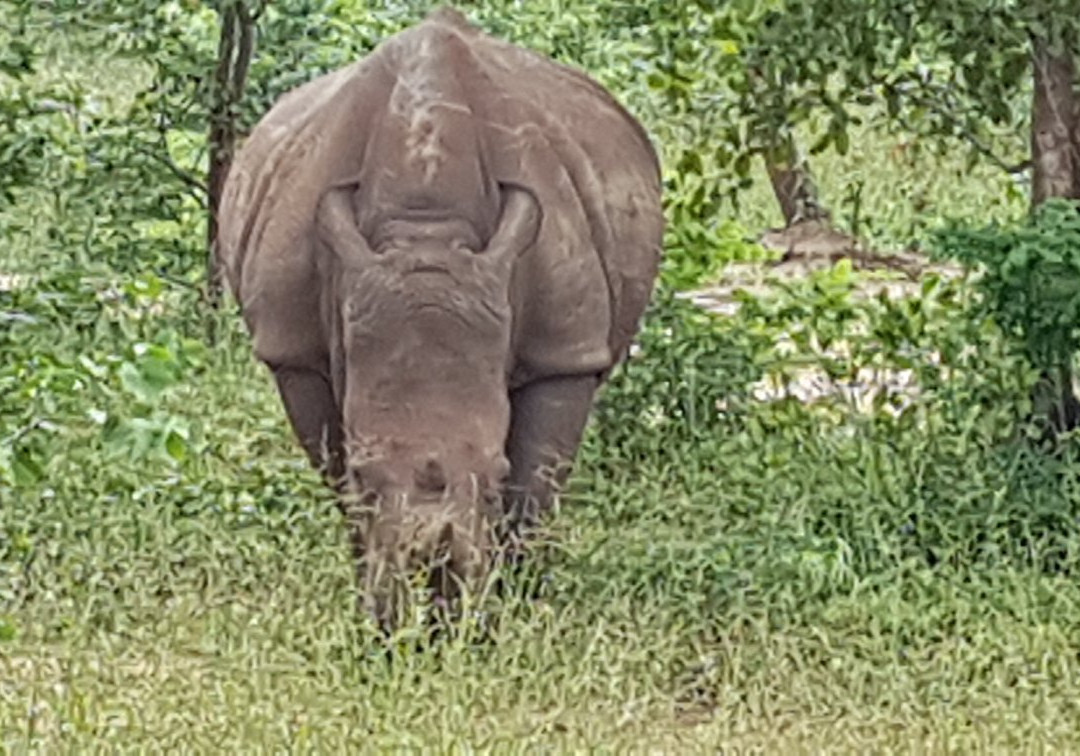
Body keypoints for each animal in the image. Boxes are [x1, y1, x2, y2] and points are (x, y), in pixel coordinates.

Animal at [216, 7, 664, 627]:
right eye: (364, 475)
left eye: (496, 473)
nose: (433, 572)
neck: (424, 228)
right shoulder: (293, 349)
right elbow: (336, 476)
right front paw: (377, 620)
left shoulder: (566, 351)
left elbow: (535, 489)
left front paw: (508, 614)